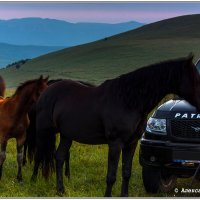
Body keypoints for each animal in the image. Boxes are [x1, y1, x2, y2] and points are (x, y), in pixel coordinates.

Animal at [30, 54, 200, 197]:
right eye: (195, 79)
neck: (128, 100)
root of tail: (46, 91)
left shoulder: (131, 143)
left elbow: (126, 172)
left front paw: (124, 195)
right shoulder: (115, 143)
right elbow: (111, 175)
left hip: (66, 135)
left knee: (59, 157)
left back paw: (61, 190)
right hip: (43, 131)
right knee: (39, 154)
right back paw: (32, 181)